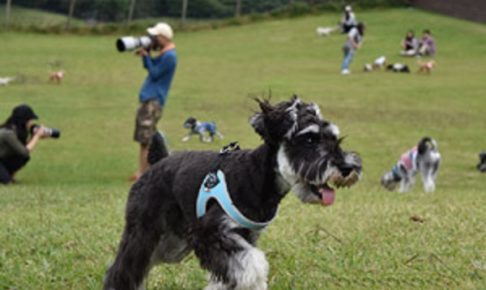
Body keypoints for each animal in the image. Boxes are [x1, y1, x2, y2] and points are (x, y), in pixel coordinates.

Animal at [104, 97, 362, 290]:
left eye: (334, 138)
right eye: (309, 139)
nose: (347, 168)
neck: (256, 176)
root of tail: (158, 162)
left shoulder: (244, 236)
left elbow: (235, 272)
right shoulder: (211, 233)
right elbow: (253, 266)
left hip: (172, 244)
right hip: (144, 230)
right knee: (123, 267)